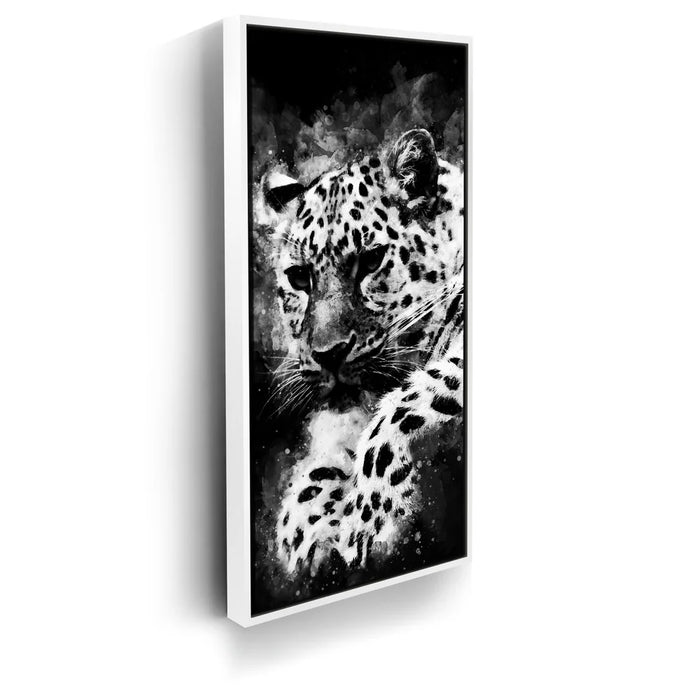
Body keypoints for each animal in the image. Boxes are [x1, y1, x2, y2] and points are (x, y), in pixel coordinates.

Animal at [255, 129, 465, 576]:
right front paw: (307, 528)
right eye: (299, 277)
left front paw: (365, 517)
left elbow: (407, 404)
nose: (328, 354)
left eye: (371, 261)